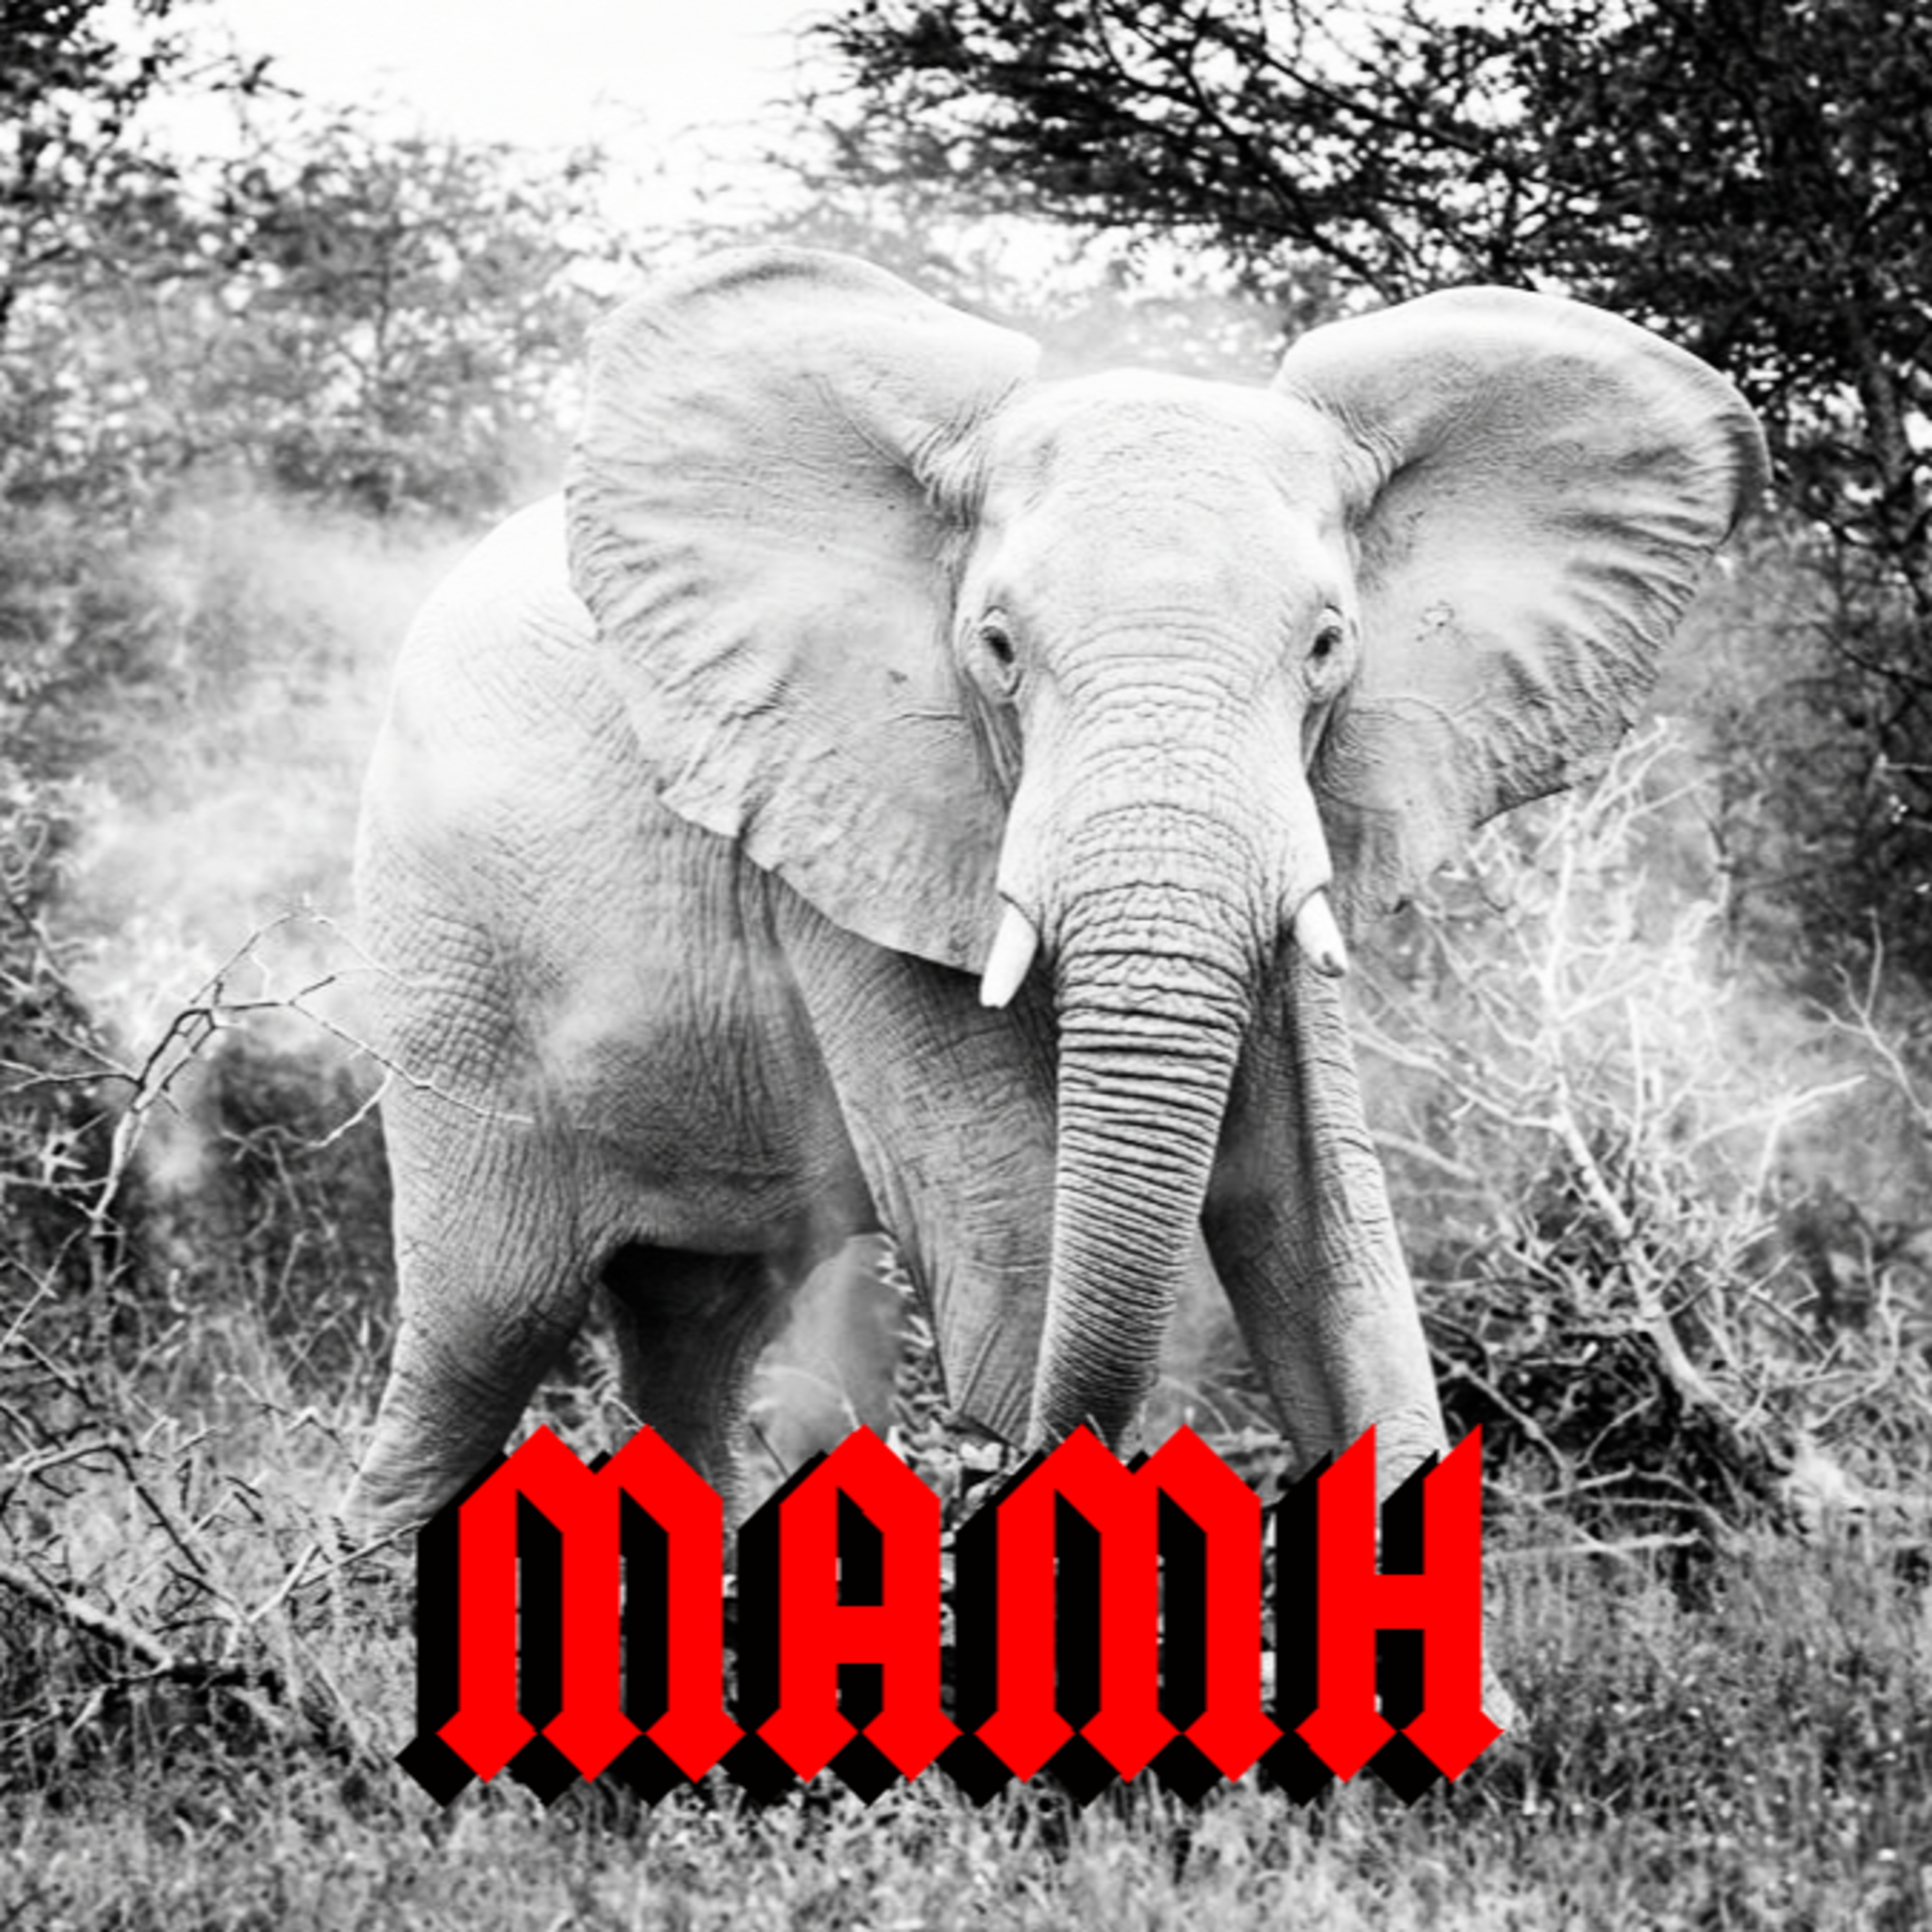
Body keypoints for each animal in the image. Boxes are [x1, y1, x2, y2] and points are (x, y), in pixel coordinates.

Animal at [341, 247, 1764, 1544]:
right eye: (997, 651)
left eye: (1326, 649)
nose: (975, 1467)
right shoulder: (853, 810)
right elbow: (1015, 1224)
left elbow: (1321, 1224)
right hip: (451, 951)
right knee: (490, 1314)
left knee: (694, 1326)